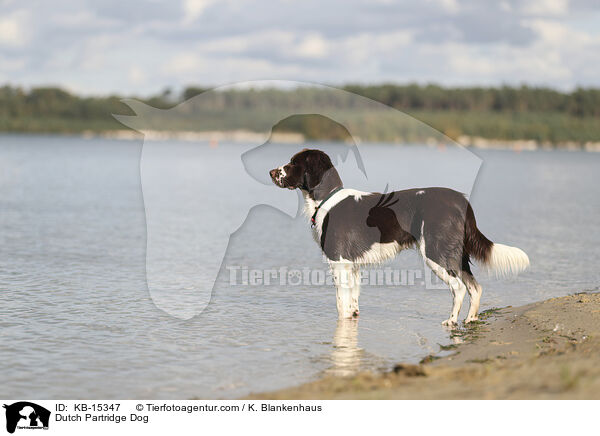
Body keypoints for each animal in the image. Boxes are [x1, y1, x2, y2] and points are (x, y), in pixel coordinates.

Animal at [270, 149, 528, 324]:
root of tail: (460, 200)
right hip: (456, 253)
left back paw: (452, 321)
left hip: (436, 252)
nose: (271, 172)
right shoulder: (352, 265)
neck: (326, 200)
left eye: (293, 163)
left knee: (459, 287)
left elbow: (341, 304)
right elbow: (353, 302)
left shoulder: (338, 262)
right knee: (475, 287)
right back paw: (471, 320)